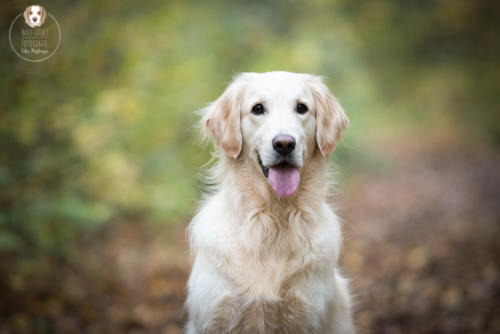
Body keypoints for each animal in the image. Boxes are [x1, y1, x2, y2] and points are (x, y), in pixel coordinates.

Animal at [186, 72, 354, 332]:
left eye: (301, 108)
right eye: (257, 108)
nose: (284, 143)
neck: (273, 220)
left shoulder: (305, 315)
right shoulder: (215, 316)